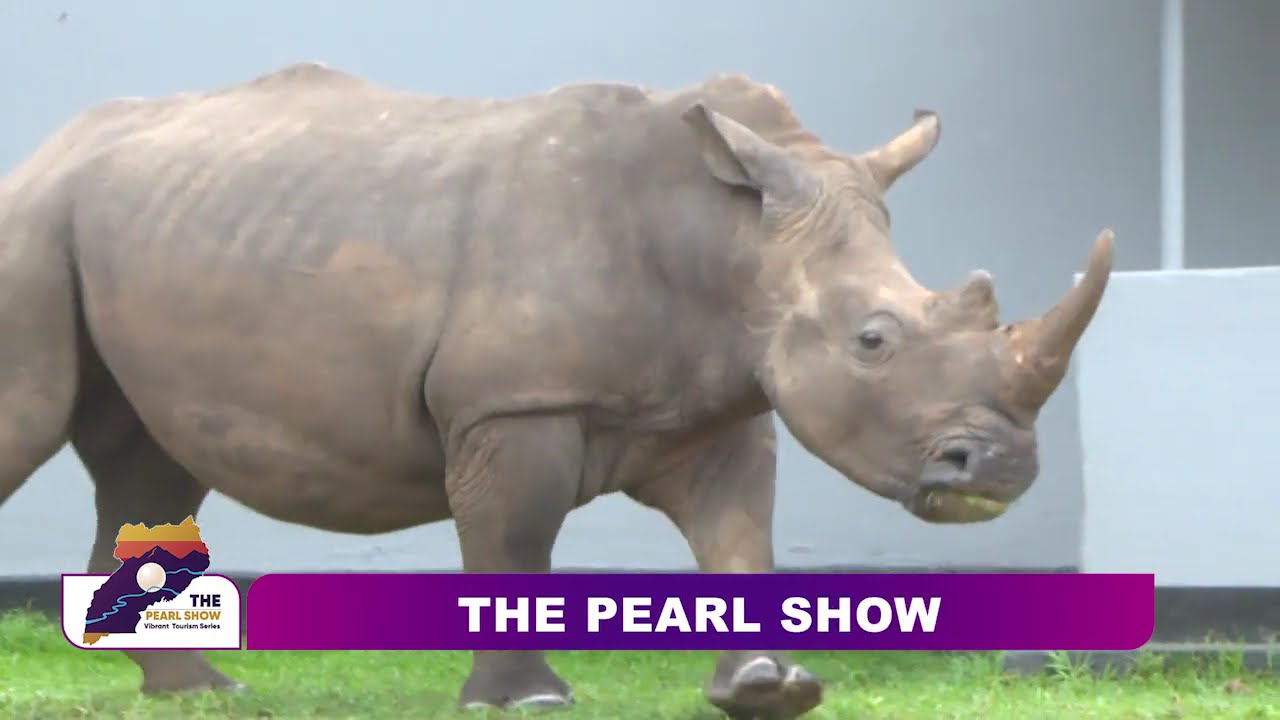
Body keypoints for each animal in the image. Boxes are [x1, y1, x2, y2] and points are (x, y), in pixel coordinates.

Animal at [0, 62, 1112, 718]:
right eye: (873, 341)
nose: (999, 471)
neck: (729, 237)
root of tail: (54, 145)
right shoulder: (512, 403)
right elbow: (515, 541)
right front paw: (526, 701)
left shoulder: (724, 396)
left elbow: (738, 540)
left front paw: (767, 688)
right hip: (33, 220)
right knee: (35, 424)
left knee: (151, 467)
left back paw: (203, 690)